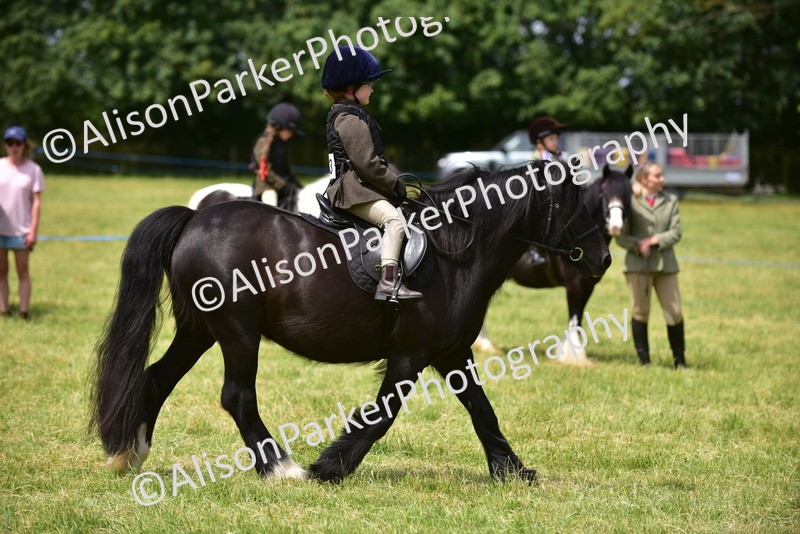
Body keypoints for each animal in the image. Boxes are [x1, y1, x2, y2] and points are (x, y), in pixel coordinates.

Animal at [90, 161, 611, 484]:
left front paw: (513, 471)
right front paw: (330, 467)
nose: (603, 258)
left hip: (199, 330)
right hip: (237, 334)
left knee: (157, 378)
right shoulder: (410, 357)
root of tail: (195, 219)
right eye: (574, 204)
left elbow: (482, 409)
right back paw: (280, 468)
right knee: (236, 397)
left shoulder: (452, 352)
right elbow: (381, 416)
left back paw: (129, 453)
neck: (455, 254)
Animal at [473, 164, 632, 365]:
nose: (616, 227)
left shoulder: (588, 286)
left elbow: (578, 317)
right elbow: (574, 318)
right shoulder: (574, 286)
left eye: (628, 195)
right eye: (604, 194)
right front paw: (574, 357)